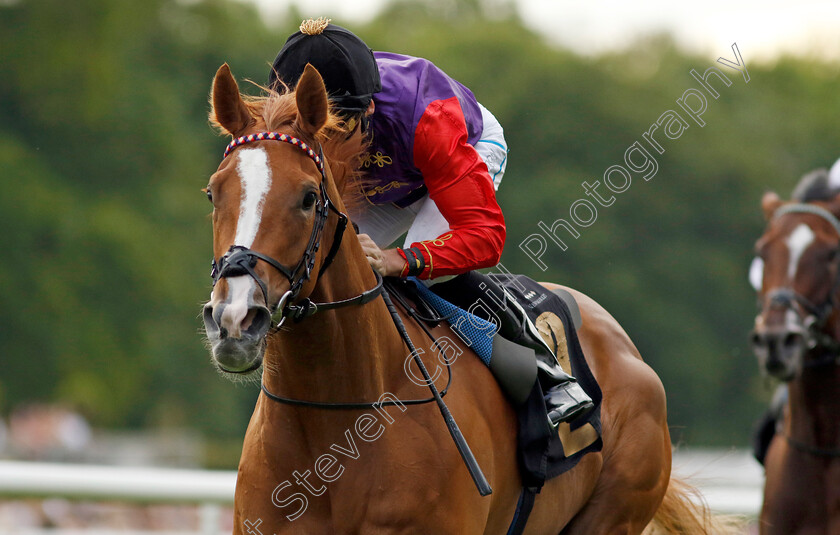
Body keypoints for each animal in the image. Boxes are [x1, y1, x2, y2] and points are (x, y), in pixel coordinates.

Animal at [200, 63, 732, 535]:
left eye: (309, 197)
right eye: (213, 193)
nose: (235, 319)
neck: (336, 423)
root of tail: (626, 347)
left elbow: (483, 228)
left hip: (612, 514)